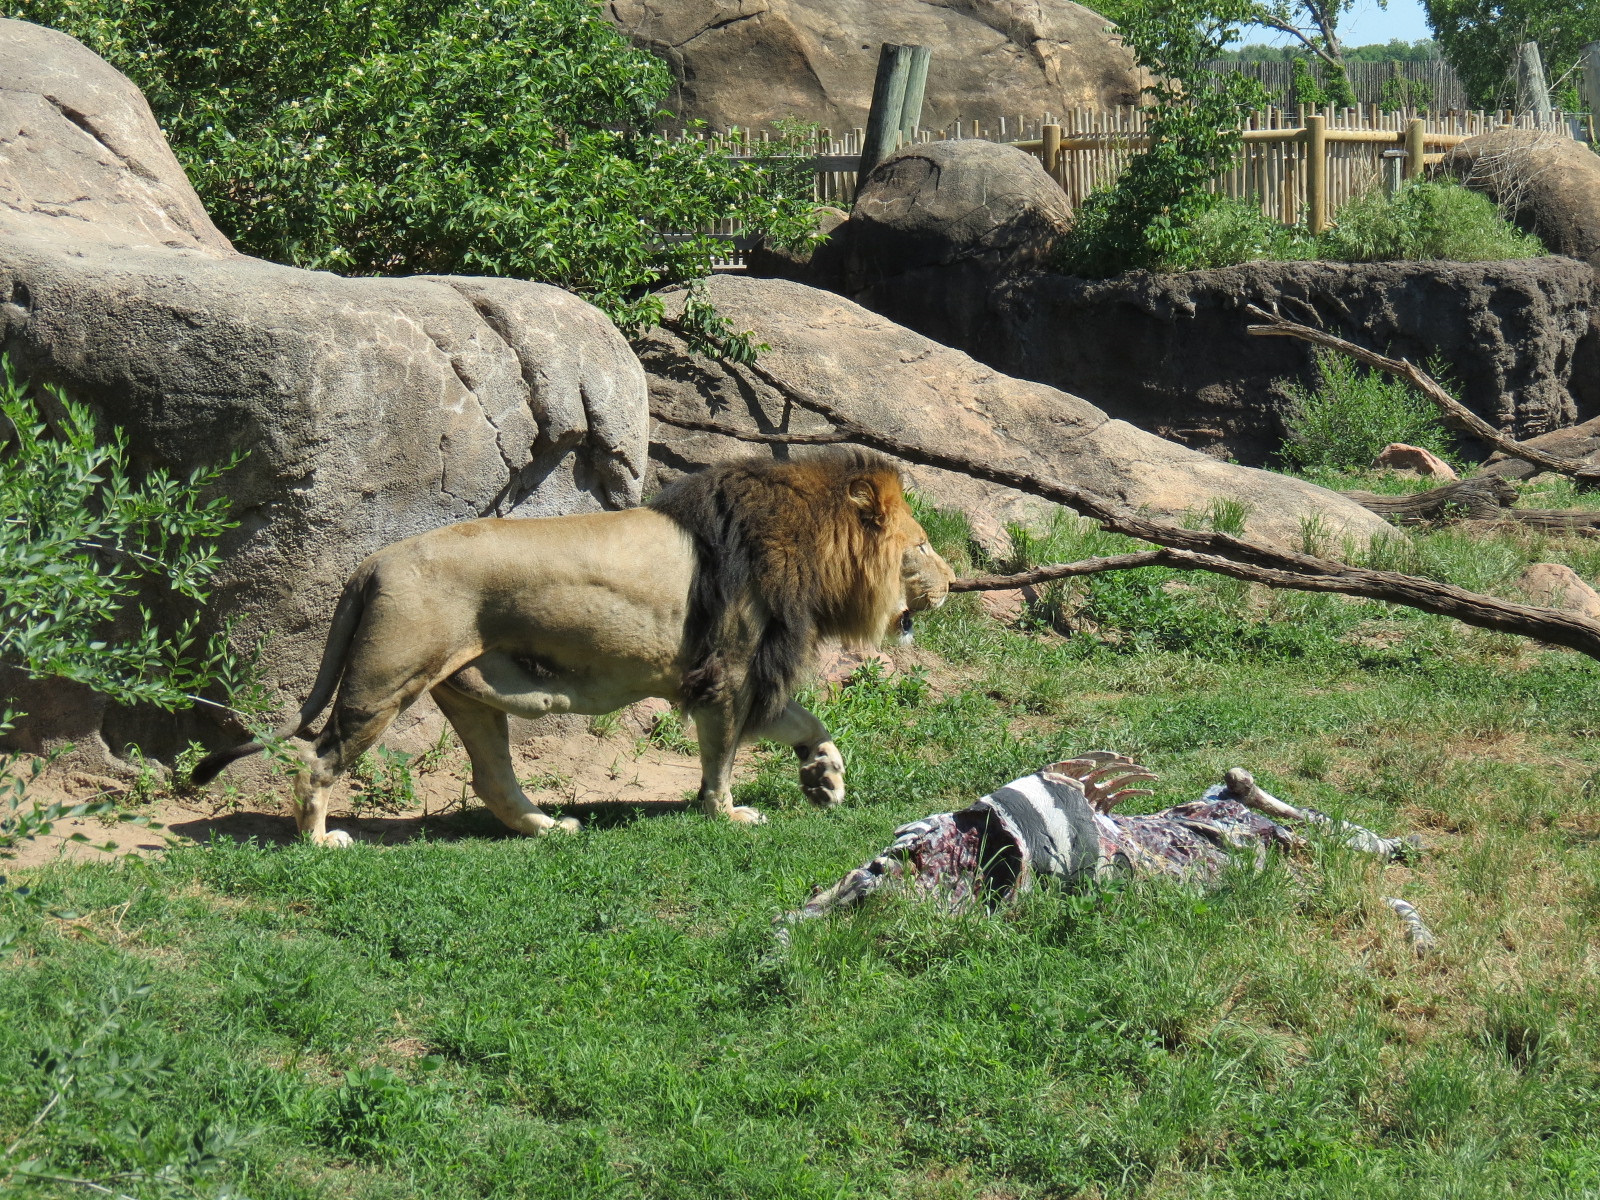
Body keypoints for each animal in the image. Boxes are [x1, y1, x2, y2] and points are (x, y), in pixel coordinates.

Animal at [191, 450, 955, 845]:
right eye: (921, 547)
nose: (952, 583)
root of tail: (371, 562)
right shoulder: (729, 672)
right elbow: (722, 758)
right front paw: (728, 813)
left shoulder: (746, 675)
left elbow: (808, 722)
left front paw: (824, 777)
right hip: (382, 683)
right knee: (316, 760)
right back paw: (319, 840)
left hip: (465, 689)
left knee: (492, 779)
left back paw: (547, 827)